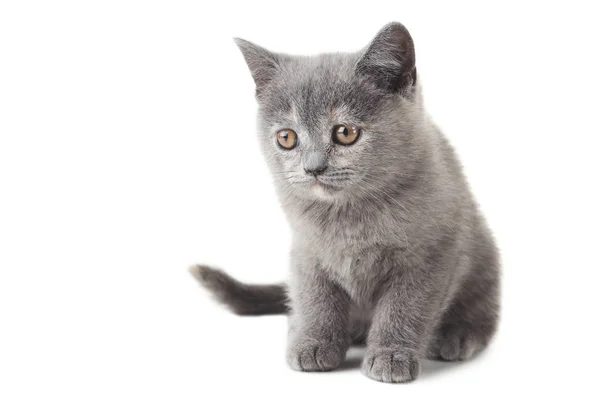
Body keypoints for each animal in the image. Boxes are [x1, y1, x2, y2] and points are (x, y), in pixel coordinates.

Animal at [191, 22, 496, 384]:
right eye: (286, 137)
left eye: (345, 132)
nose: (313, 167)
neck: (348, 215)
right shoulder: (306, 251)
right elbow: (314, 296)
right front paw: (312, 342)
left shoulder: (431, 255)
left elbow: (405, 305)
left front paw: (391, 354)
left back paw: (458, 335)